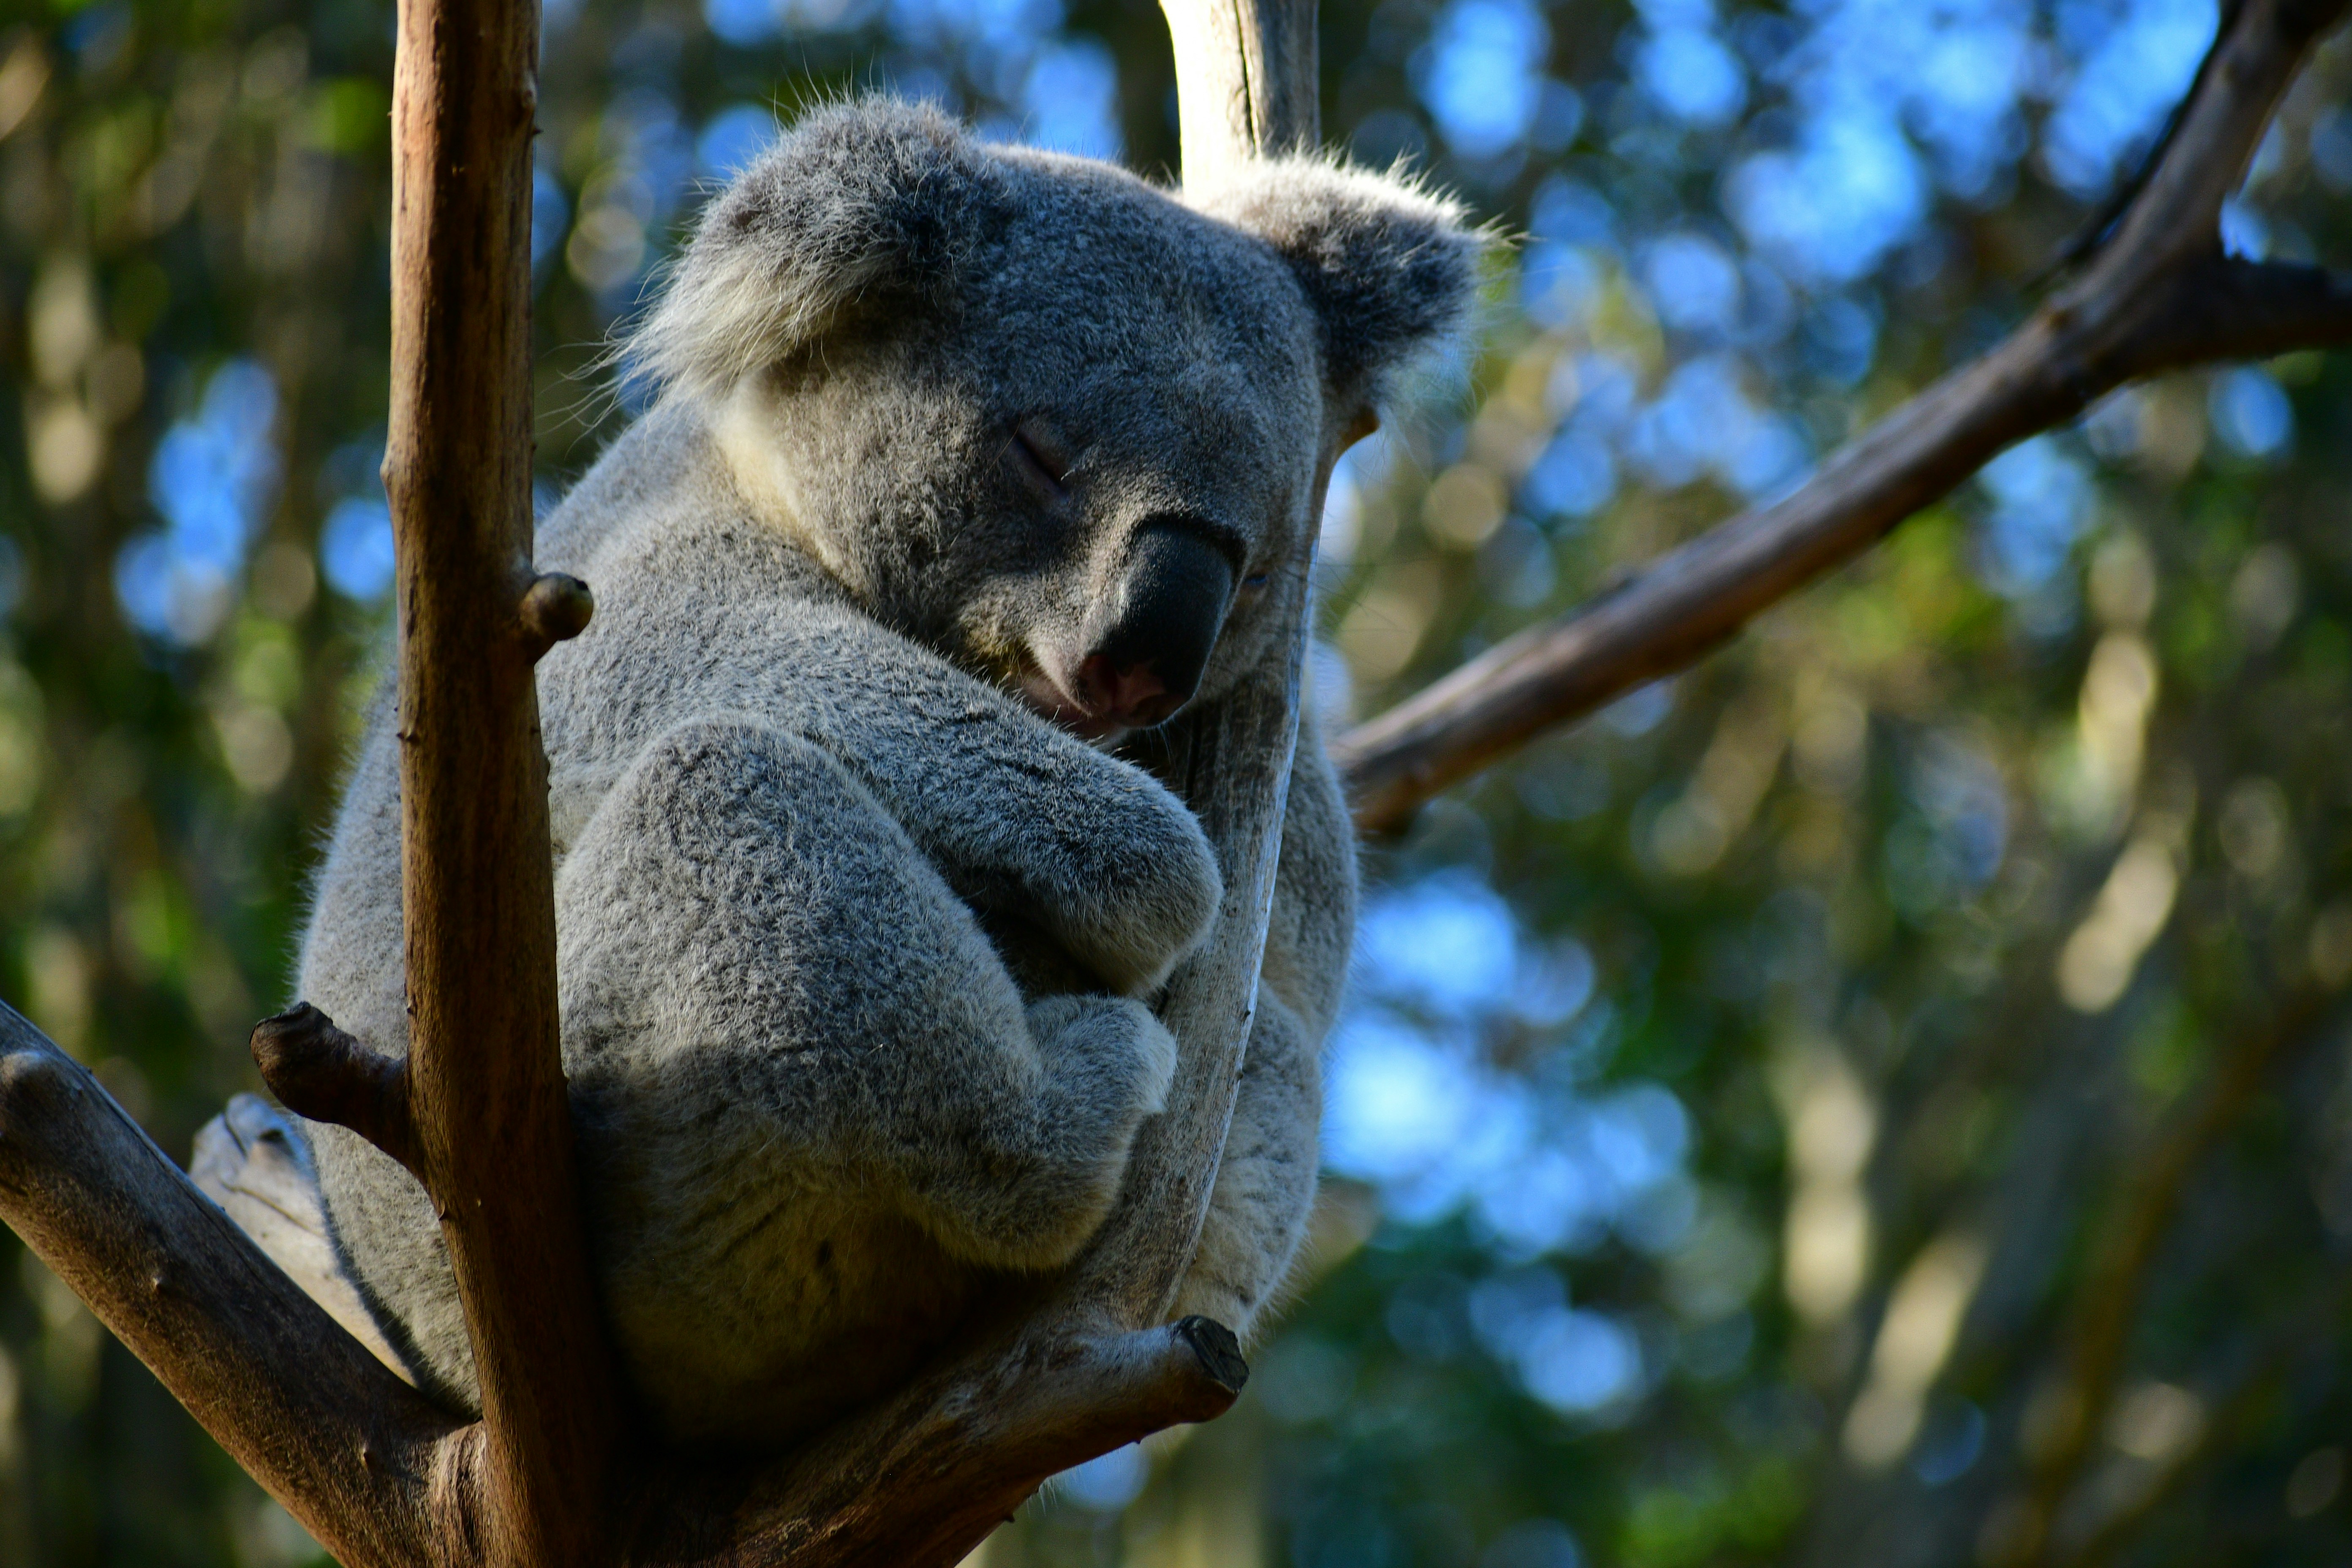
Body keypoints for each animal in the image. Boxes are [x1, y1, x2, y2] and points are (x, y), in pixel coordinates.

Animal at [274, 99, 1482, 1446]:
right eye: (1042, 455)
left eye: (1265, 561)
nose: (1146, 663)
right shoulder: (592, 588)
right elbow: (662, 664)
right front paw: (1159, 883)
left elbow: (1299, 950)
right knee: (743, 796)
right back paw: (1079, 1091)